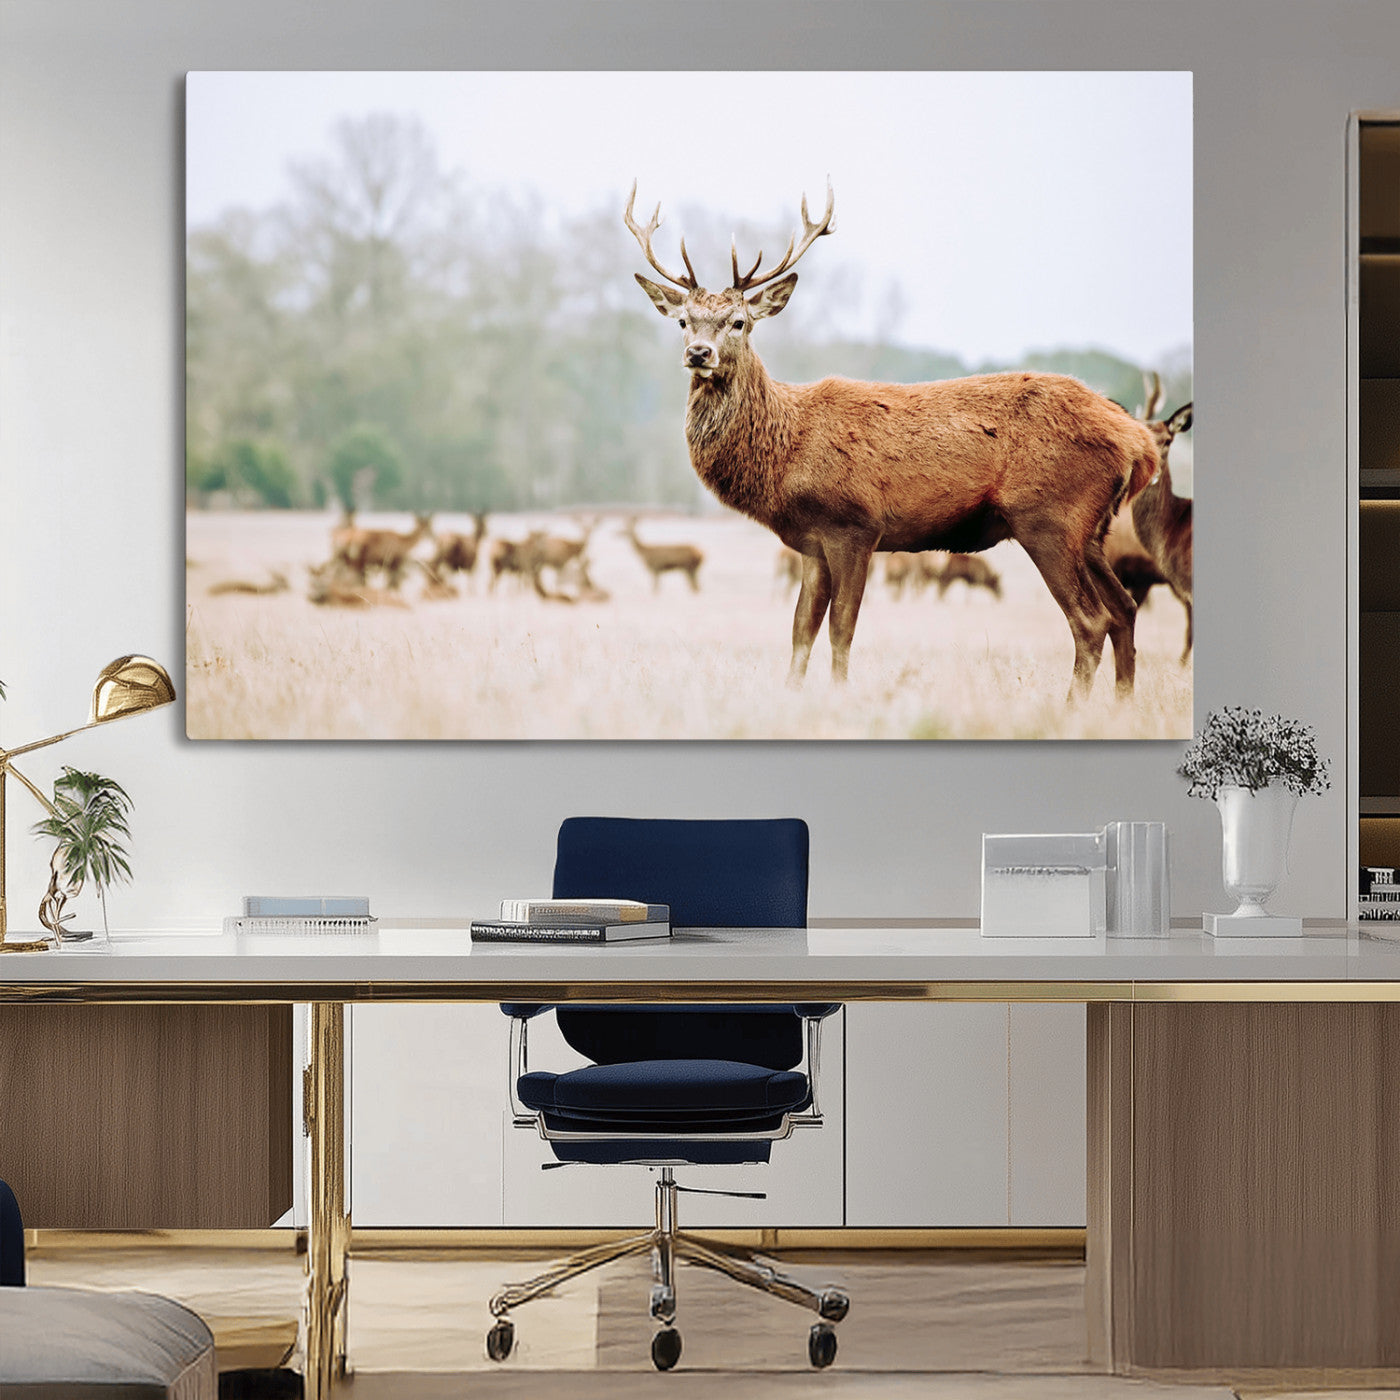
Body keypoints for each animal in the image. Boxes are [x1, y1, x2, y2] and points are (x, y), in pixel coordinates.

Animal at [626, 182, 1159, 700]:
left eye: (739, 322)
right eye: (683, 321)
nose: (699, 353)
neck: (786, 451)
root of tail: (1140, 442)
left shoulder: (855, 525)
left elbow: (841, 628)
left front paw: (840, 695)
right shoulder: (811, 542)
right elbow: (800, 630)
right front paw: (791, 695)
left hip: (1049, 516)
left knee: (1091, 620)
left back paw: (1074, 709)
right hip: (1092, 530)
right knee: (1125, 610)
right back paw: (1122, 705)